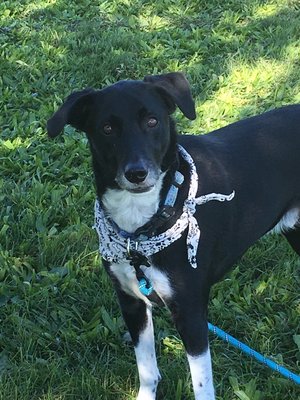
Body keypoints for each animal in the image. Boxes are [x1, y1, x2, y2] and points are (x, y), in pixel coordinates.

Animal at [47, 72, 300, 400]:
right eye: (107, 128)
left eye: (152, 121)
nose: (137, 173)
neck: (140, 233)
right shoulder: (131, 300)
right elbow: (147, 370)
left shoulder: (190, 312)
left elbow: (202, 386)